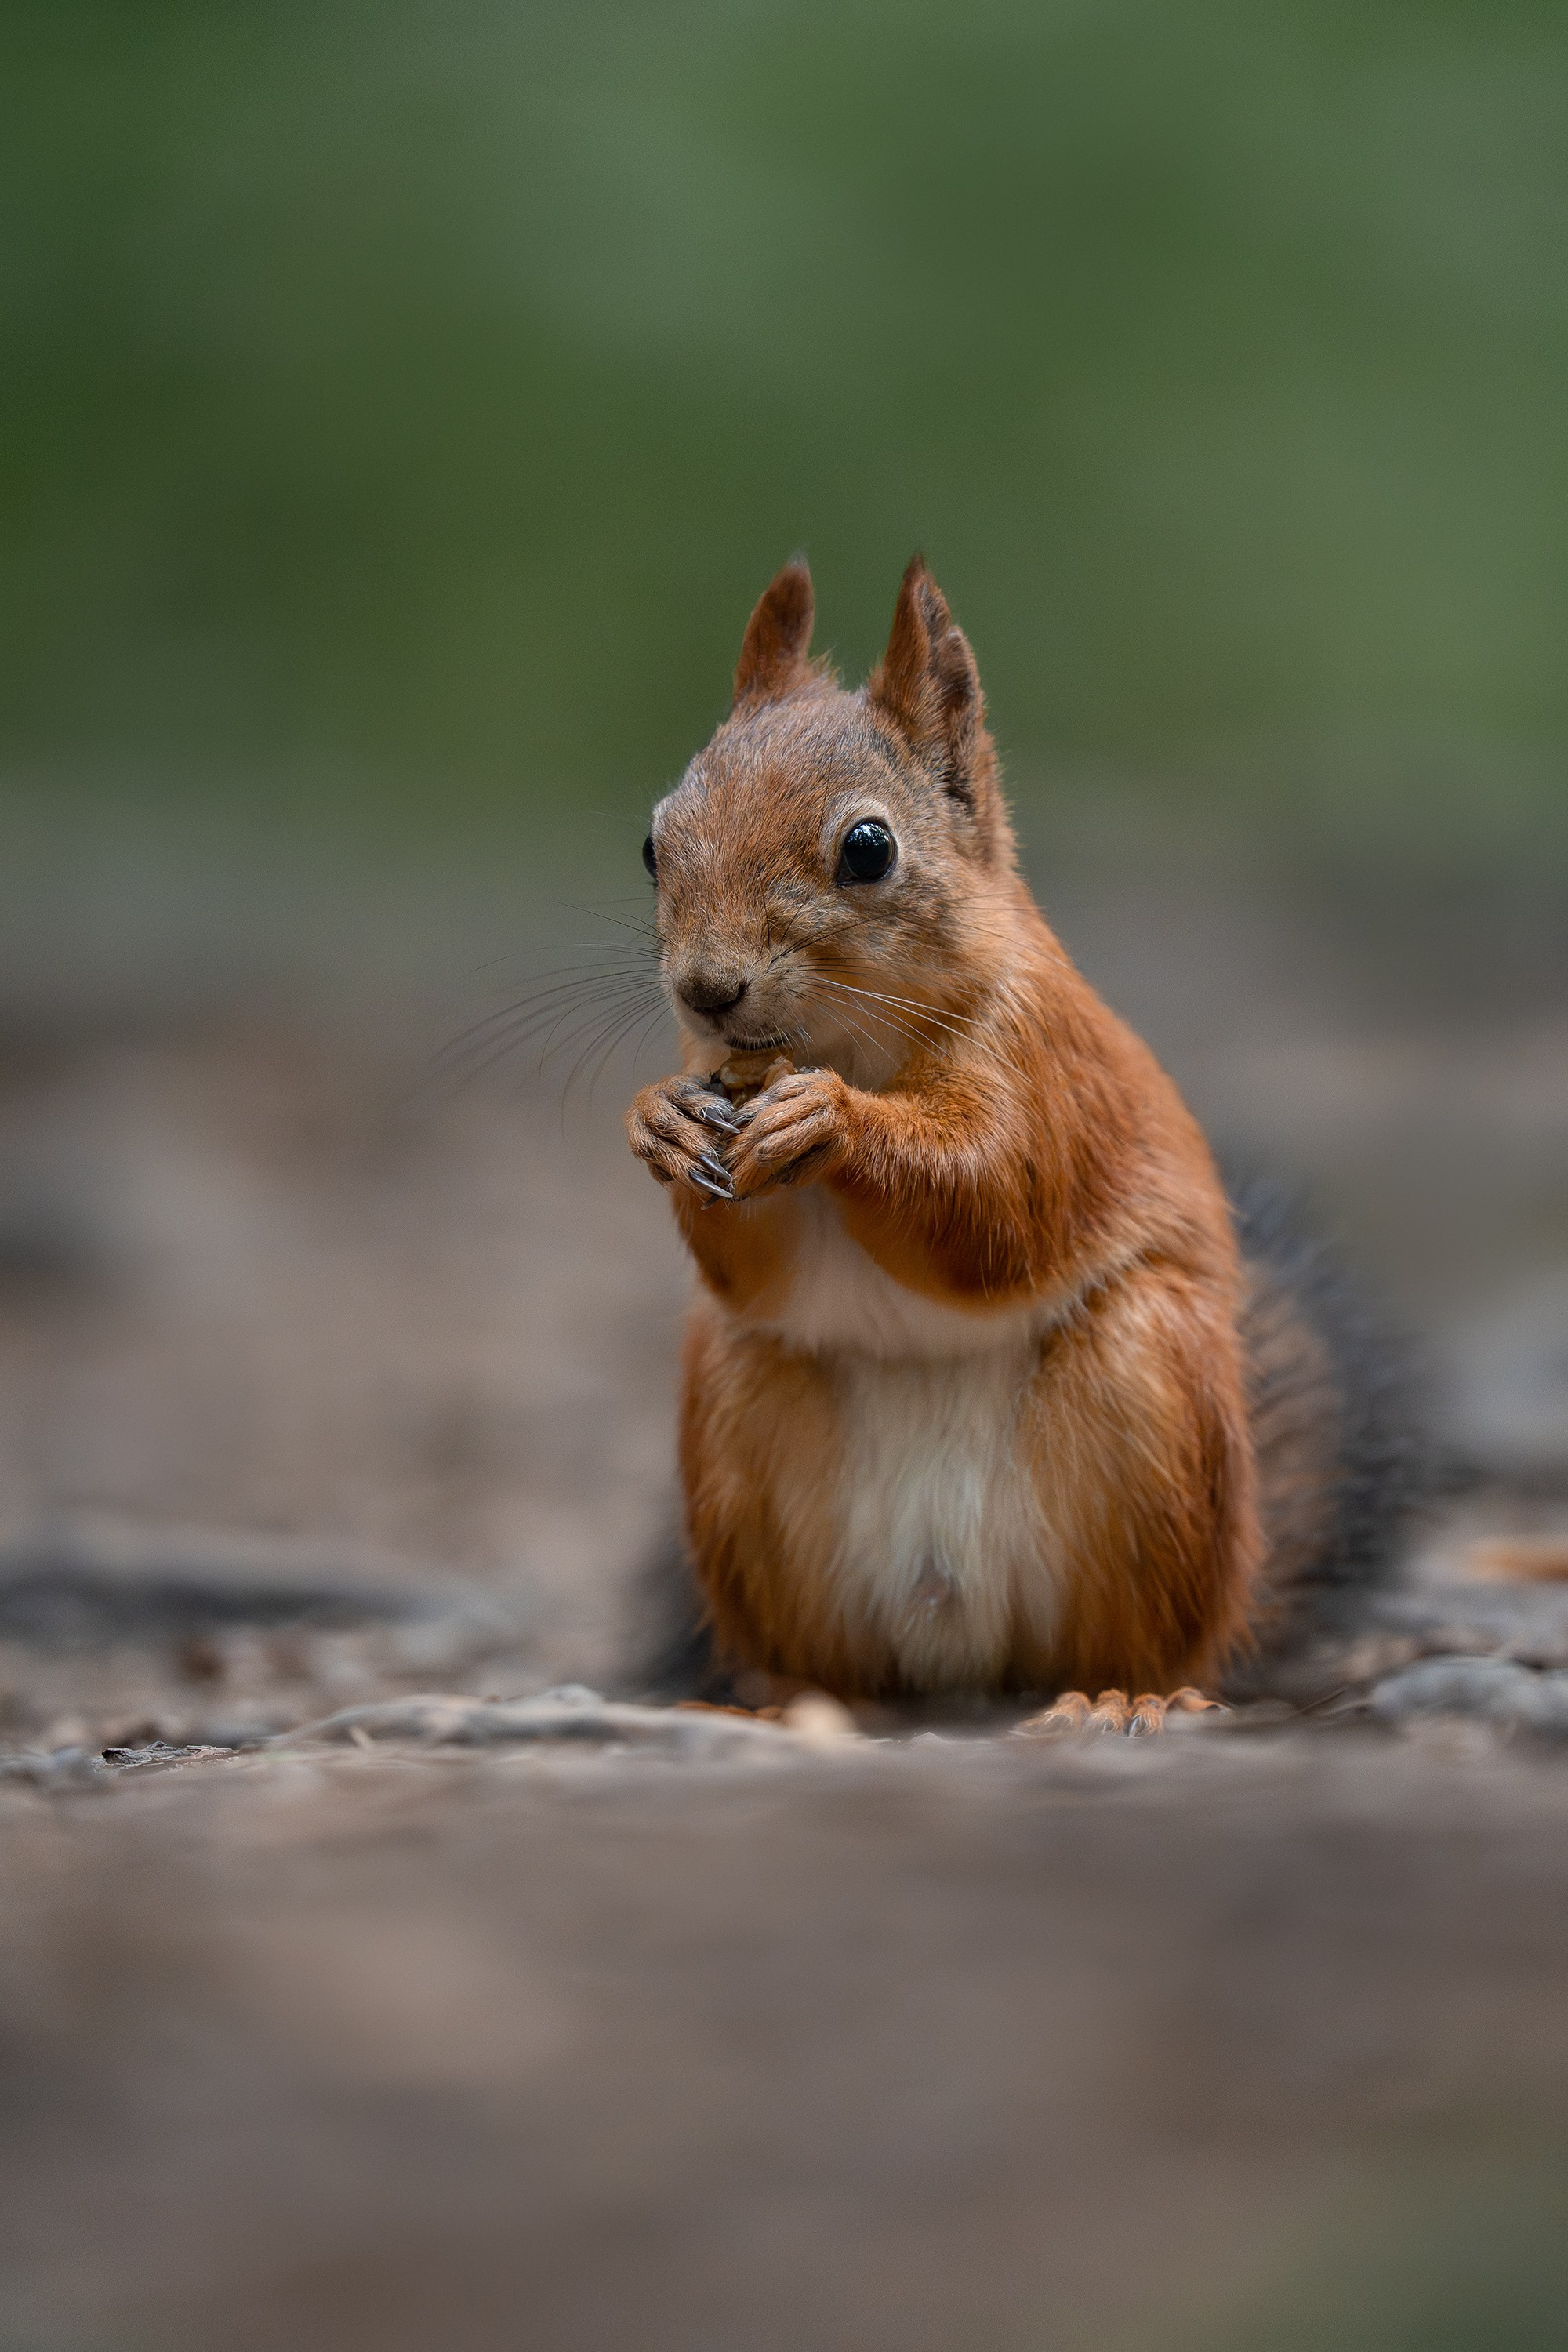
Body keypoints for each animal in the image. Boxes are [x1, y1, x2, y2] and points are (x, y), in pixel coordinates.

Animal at [627, 557, 1420, 1726]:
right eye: (653, 841)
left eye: (868, 849)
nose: (706, 991)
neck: (844, 1044)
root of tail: (959, 1644)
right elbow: (756, 1268)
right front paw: (661, 1117)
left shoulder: (1047, 1080)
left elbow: (993, 1202)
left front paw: (833, 1123)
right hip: (740, 1418)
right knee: (830, 1658)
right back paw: (783, 1703)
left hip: (1145, 1408)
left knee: (1145, 1645)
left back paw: (1121, 1699)